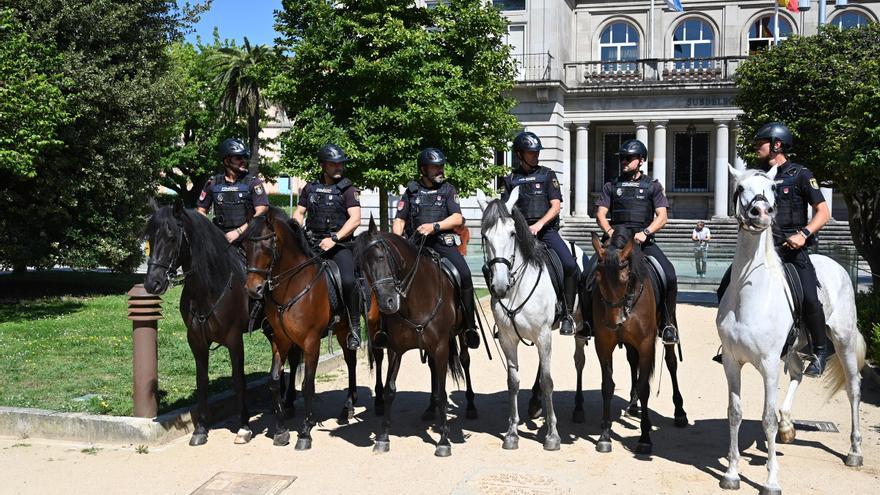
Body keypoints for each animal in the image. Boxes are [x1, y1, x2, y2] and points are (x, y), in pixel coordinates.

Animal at [239, 205, 360, 450]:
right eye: (245, 245)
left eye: (267, 245)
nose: (253, 289)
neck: (291, 286)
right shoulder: (281, 340)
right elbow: (274, 381)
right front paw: (281, 429)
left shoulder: (311, 341)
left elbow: (307, 384)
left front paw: (305, 432)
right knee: (349, 362)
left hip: (347, 330)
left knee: (352, 362)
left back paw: (349, 407)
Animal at [352, 219, 474, 460]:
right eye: (362, 267)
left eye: (381, 257)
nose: (387, 303)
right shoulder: (395, 349)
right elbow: (390, 390)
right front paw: (383, 438)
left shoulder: (440, 347)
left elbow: (444, 392)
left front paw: (443, 441)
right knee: (433, 371)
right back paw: (431, 408)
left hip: (460, 336)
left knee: (465, 361)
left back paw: (470, 406)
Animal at [478, 188, 580, 452]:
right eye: (484, 235)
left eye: (512, 233)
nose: (499, 285)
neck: (517, 288)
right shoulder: (508, 339)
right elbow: (513, 381)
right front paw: (512, 433)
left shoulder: (543, 335)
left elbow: (548, 381)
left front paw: (553, 435)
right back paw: (535, 404)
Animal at [592, 229, 688, 458]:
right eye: (598, 277)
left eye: (625, 278)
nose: (614, 322)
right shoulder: (603, 345)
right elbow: (607, 386)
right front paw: (605, 435)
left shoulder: (646, 344)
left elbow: (645, 387)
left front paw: (645, 438)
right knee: (632, 362)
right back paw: (633, 403)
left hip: (668, 327)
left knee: (671, 363)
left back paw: (679, 412)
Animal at [720, 167, 868, 495]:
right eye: (741, 188)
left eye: (773, 189)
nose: (761, 212)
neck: (749, 292)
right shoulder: (731, 362)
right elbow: (734, 414)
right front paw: (732, 474)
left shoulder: (769, 365)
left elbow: (766, 419)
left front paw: (771, 481)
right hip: (792, 350)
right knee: (799, 373)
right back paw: (788, 426)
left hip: (843, 340)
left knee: (853, 387)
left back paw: (854, 451)